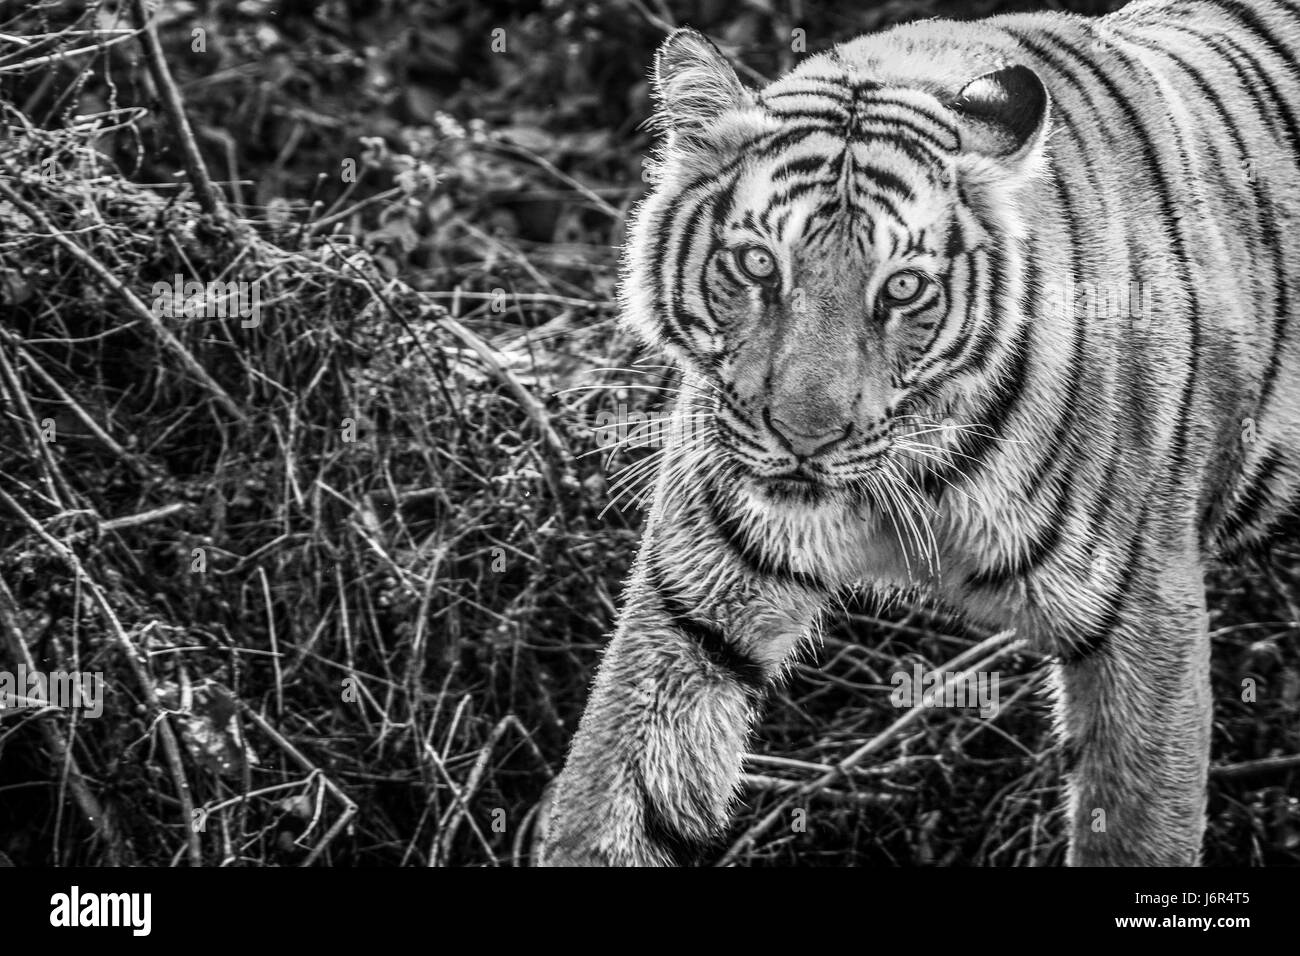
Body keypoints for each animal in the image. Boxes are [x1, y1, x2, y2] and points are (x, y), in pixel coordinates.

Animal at [535, 0, 1300, 868]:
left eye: (902, 288)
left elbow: (1138, 829)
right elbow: (614, 795)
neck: (915, 478)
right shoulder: (691, 616)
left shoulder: (1147, 621)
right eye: (759, 265)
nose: (804, 437)